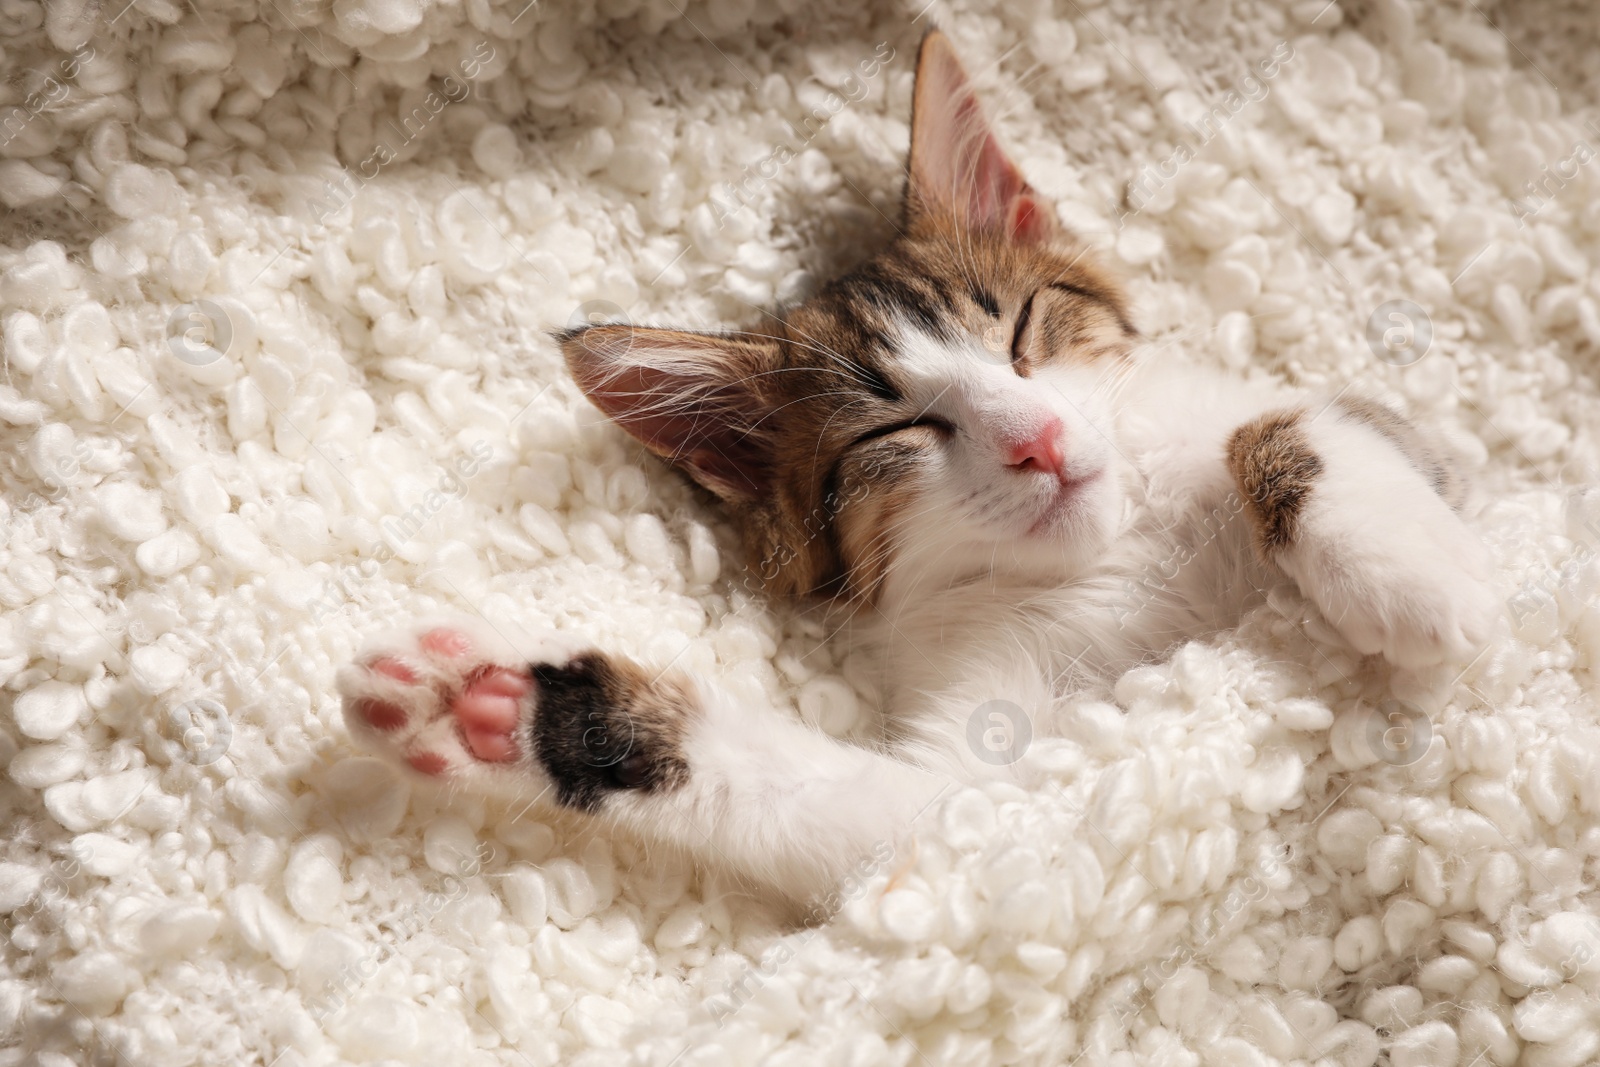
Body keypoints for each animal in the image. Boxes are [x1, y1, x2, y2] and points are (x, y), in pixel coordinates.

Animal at [334, 29, 1497, 908]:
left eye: (1022, 331)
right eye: (894, 432)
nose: (1038, 440)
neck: (1115, 557)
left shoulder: (1394, 438)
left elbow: (1299, 422)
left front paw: (1404, 568)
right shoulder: (993, 796)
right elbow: (900, 829)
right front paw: (507, 709)